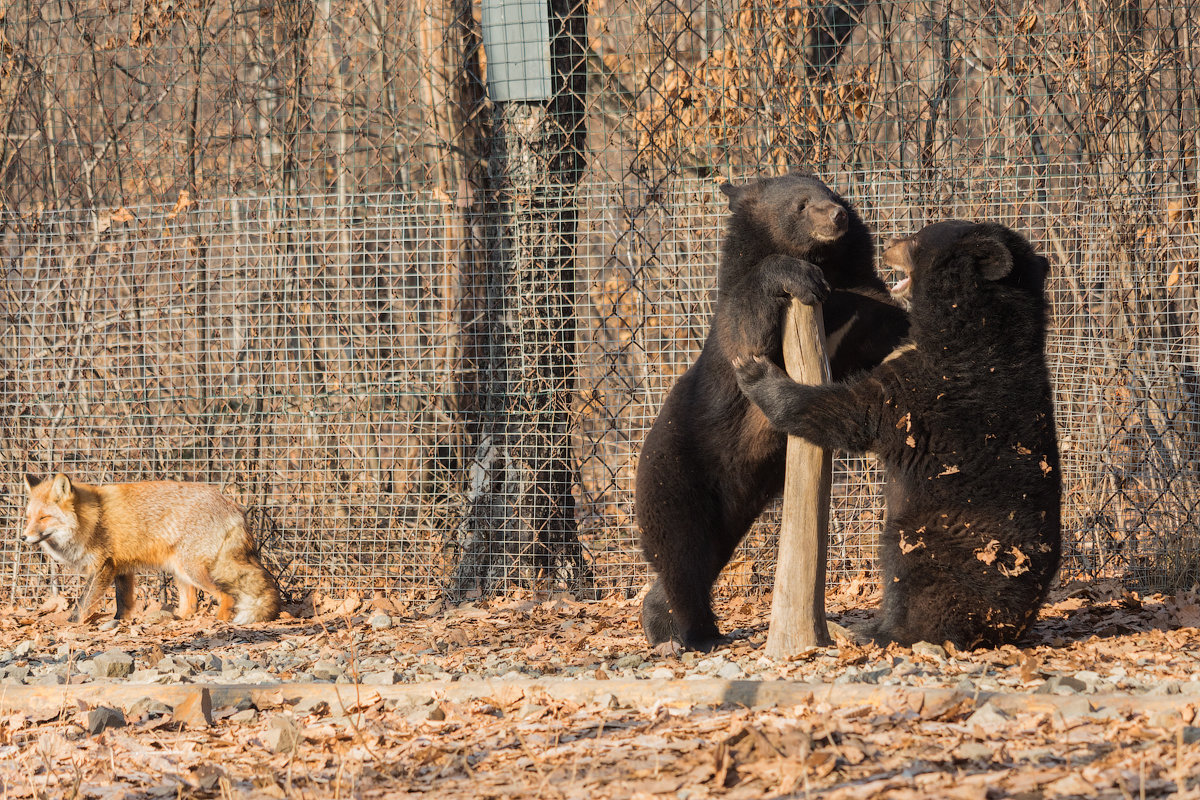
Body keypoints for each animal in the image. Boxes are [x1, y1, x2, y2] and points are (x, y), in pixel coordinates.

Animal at [21, 474, 280, 623]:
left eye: (44, 517)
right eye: (29, 517)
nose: (24, 537)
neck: (92, 519)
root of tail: (232, 505)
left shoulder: (102, 566)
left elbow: (84, 601)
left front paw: (73, 623)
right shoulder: (122, 568)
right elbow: (123, 602)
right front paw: (121, 622)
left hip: (193, 570)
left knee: (225, 595)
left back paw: (219, 621)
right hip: (180, 571)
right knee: (191, 604)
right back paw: (177, 619)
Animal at [638, 173, 907, 652]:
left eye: (832, 196)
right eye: (801, 204)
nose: (836, 216)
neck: (824, 261)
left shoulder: (857, 288)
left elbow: (876, 309)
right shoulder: (736, 326)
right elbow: (744, 327)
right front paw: (797, 277)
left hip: (728, 506)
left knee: (702, 557)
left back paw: (662, 622)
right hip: (676, 473)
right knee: (681, 555)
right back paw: (695, 633)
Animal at [729, 220, 1060, 652]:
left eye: (918, 239)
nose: (888, 242)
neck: (970, 331)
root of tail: (1010, 627)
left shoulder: (927, 394)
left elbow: (851, 412)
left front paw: (754, 369)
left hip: (935, 536)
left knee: (914, 583)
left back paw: (876, 632)